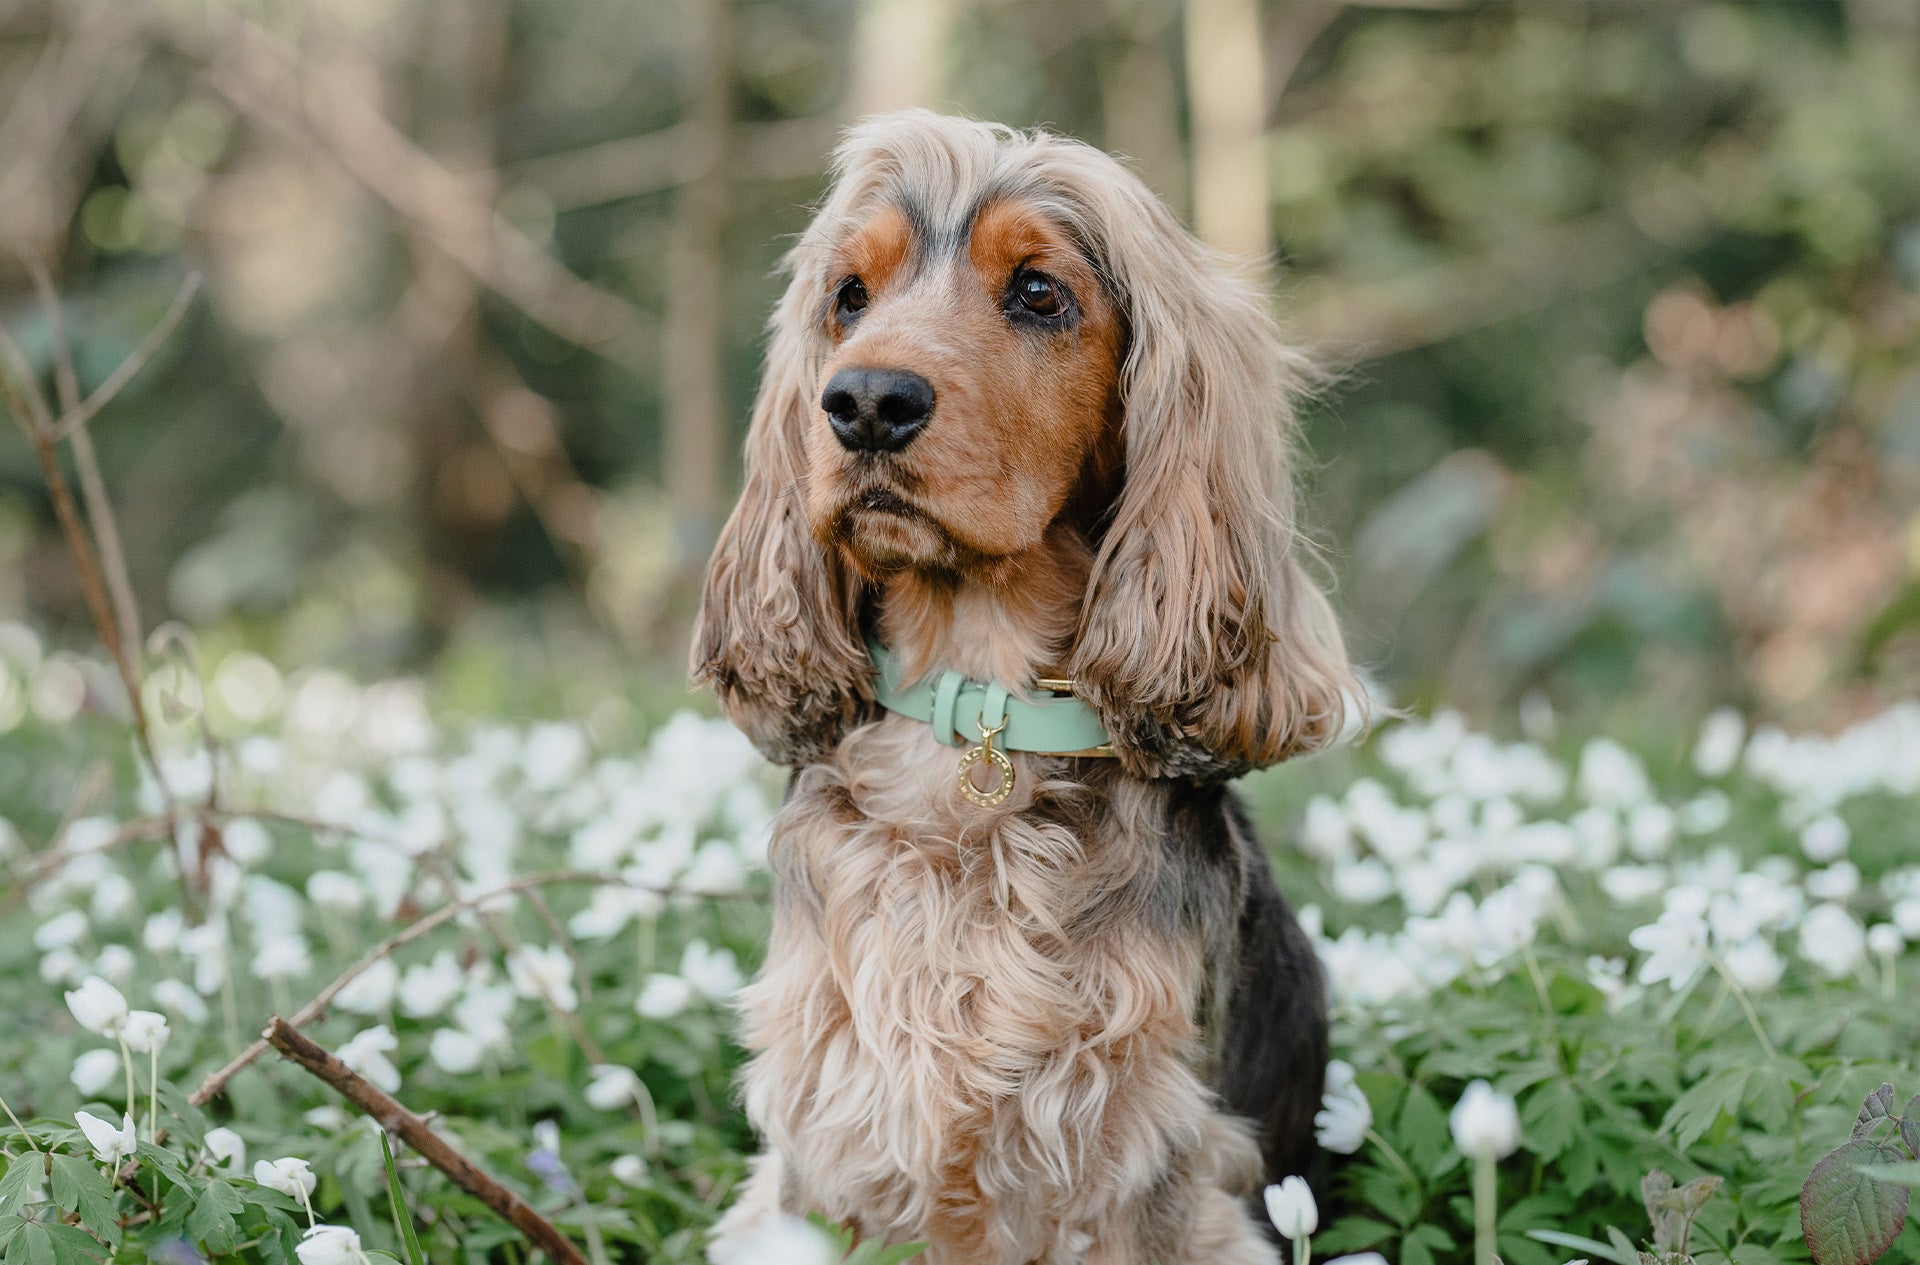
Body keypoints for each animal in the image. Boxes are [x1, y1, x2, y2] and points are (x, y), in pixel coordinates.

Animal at [691, 111, 1351, 1265]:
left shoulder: (1143, 1158)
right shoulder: (828, 1134)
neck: (975, 704)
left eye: (1041, 292)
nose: (864, 402)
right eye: (849, 295)